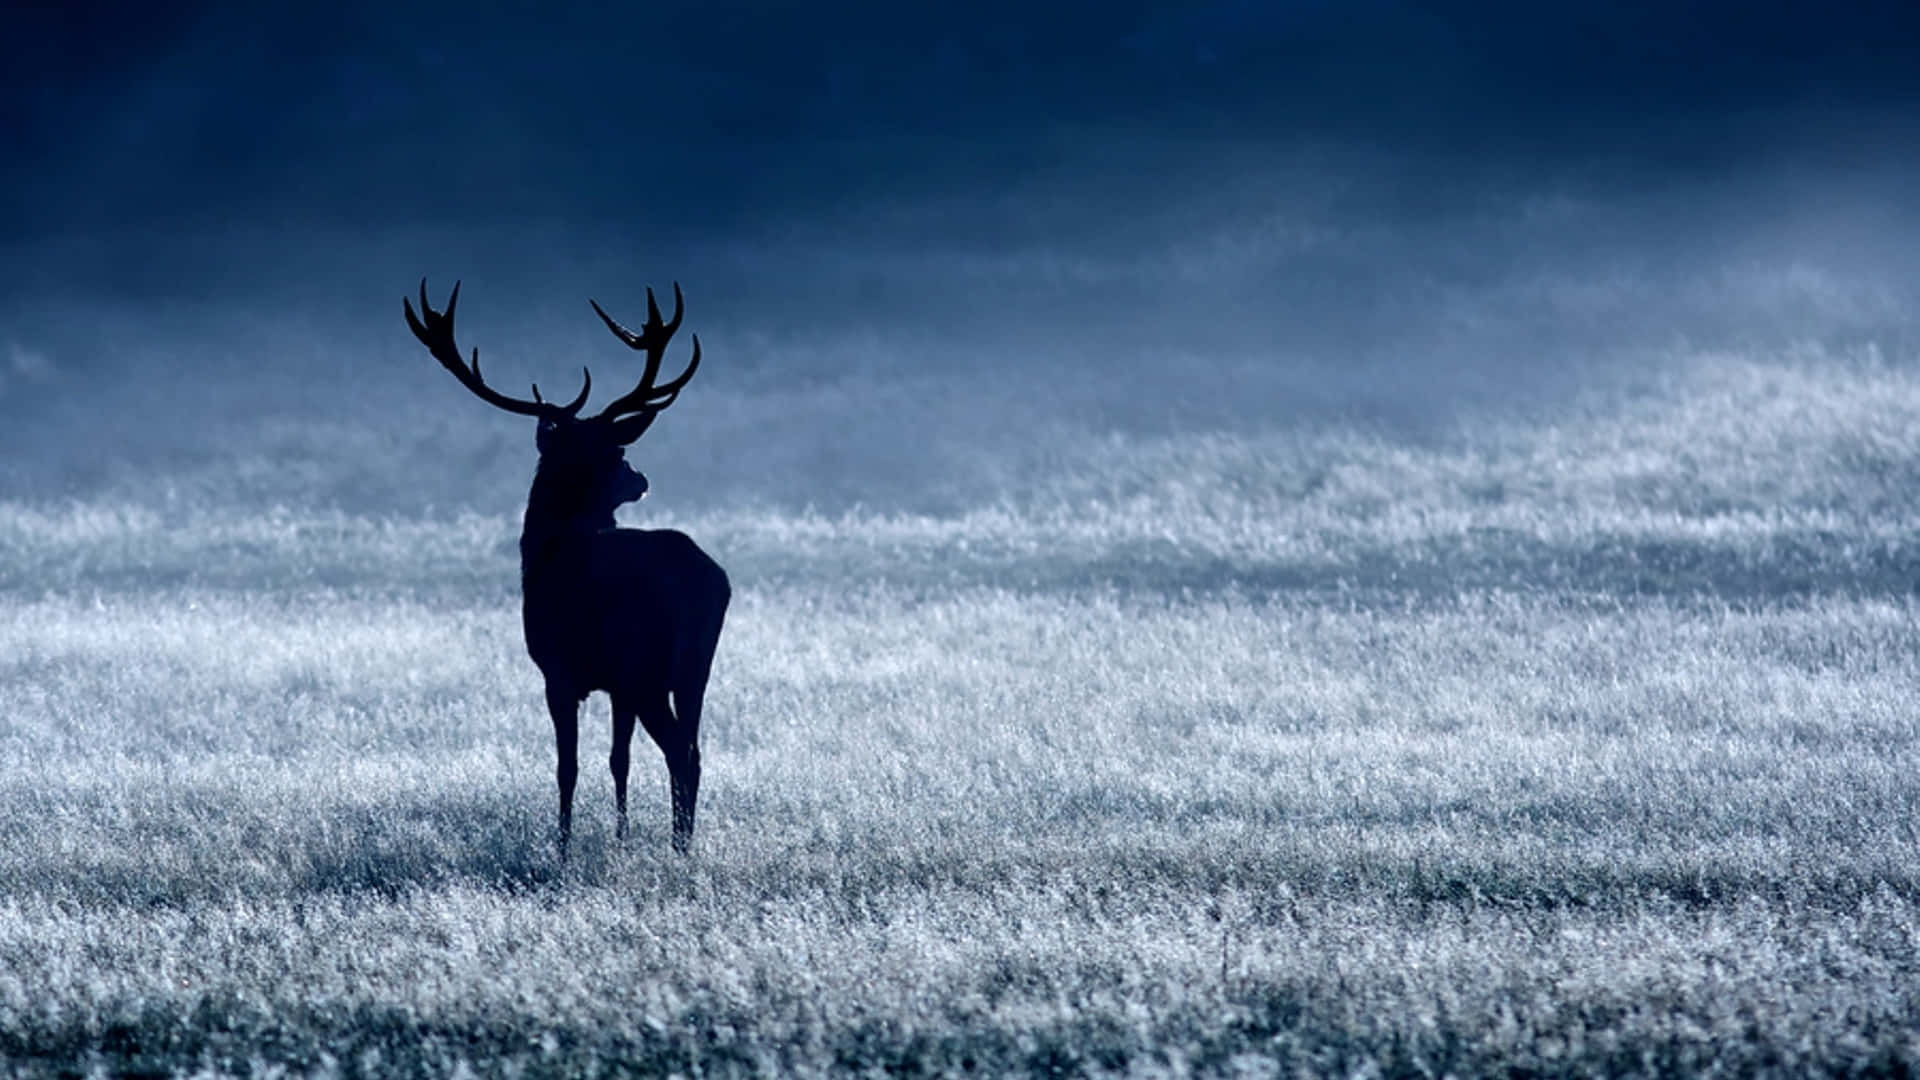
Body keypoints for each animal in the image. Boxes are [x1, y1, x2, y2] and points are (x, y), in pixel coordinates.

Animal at [404, 279, 729, 856]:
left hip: (645, 665)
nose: (640, 479)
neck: (547, 552)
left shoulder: (558, 670)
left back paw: (679, 847)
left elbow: (567, 767)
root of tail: (709, 581)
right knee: (693, 749)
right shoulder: (615, 686)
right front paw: (620, 834)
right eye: (617, 453)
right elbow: (619, 760)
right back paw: (683, 841)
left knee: (679, 751)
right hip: (695, 666)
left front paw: (561, 845)